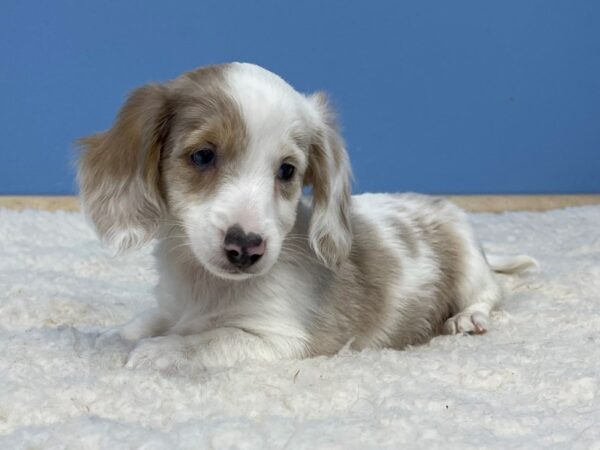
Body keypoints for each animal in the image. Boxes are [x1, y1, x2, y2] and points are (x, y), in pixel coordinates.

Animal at [78, 63, 536, 372]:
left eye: (287, 171)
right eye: (203, 156)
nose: (246, 248)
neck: (205, 286)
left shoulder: (283, 340)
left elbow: (211, 338)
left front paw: (159, 350)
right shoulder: (172, 307)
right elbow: (153, 320)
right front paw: (116, 336)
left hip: (469, 268)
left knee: (490, 294)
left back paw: (467, 317)